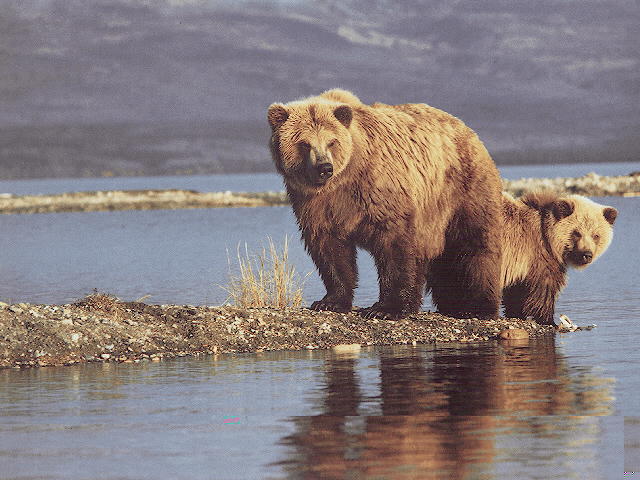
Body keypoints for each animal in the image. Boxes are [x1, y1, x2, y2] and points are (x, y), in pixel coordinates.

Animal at [267, 88, 504, 319]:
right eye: (304, 143)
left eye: (332, 141)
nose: (325, 167)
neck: (344, 180)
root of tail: (468, 130)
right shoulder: (315, 203)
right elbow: (329, 247)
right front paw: (330, 301)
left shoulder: (379, 189)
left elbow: (393, 244)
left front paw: (385, 308)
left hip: (461, 189)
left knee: (474, 244)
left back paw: (476, 307)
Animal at [501, 190, 617, 325]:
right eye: (577, 233)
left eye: (596, 235)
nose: (586, 254)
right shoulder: (537, 256)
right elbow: (543, 288)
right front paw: (549, 320)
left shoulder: (519, 266)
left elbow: (515, 291)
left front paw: (515, 313)